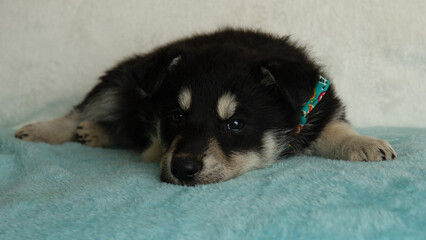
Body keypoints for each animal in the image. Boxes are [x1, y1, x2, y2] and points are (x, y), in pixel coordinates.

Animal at [15, 28, 396, 186]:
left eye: (236, 124)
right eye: (175, 116)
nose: (183, 169)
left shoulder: (320, 105)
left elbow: (335, 128)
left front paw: (365, 144)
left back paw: (94, 134)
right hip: (117, 82)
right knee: (80, 112)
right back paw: (41, 130)